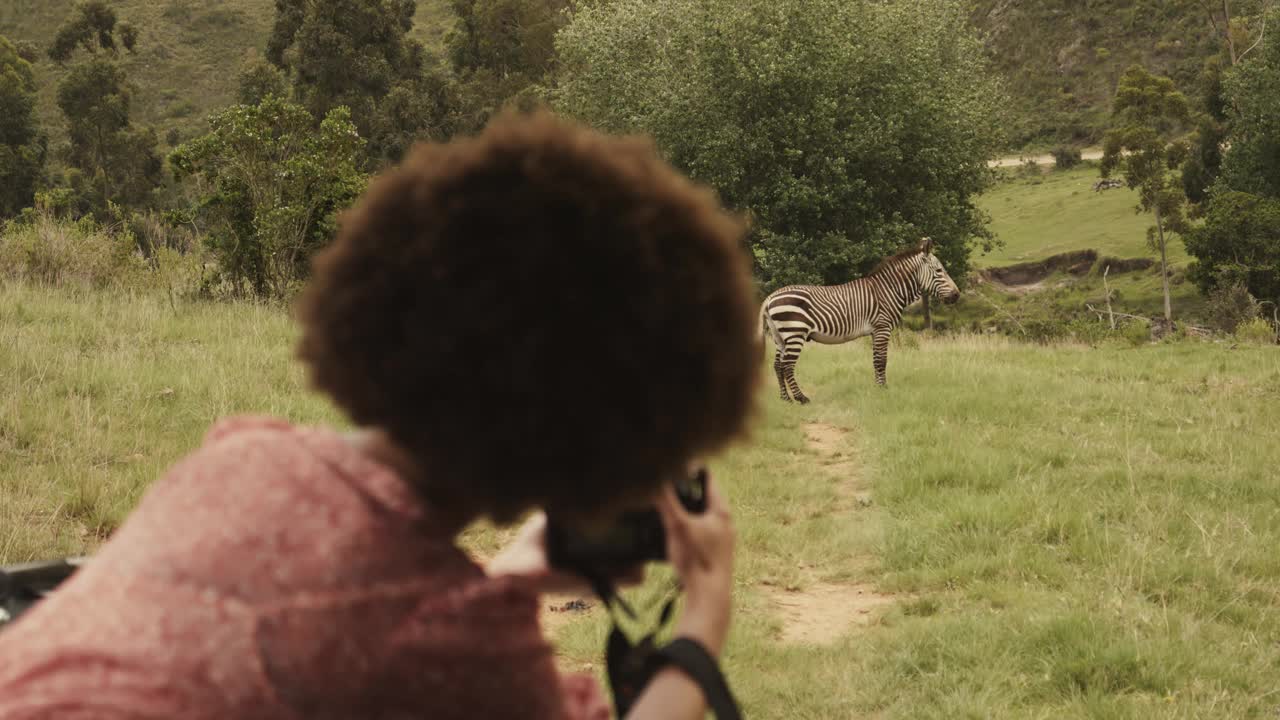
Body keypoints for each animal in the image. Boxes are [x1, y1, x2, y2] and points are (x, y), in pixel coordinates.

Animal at [757, 237, 962, 399]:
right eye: (939, 271)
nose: (957, 295)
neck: (888, 291)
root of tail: (770, 297)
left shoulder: (875, 331)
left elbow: (875, 360)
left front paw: (878, 387)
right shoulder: (882, 328)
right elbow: (881, 360)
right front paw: (883, 390)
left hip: (780, 336)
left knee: (777, 365)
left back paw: (785, 399)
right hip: (795, 333)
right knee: (787, 366)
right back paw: (801, 398)